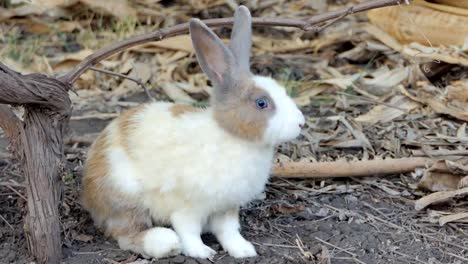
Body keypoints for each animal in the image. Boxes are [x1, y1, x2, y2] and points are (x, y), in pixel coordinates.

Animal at [82, 5, 306, 260]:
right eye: (261, 103)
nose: (301, 123)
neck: (232, 137)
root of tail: (88, 193)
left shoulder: (226, 207)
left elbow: (229, 230)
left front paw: (243, 250)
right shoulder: (188, 207)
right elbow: (188, 230)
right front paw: (202, 252)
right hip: (126, 196)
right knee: (127, 234)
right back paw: (164, 243)